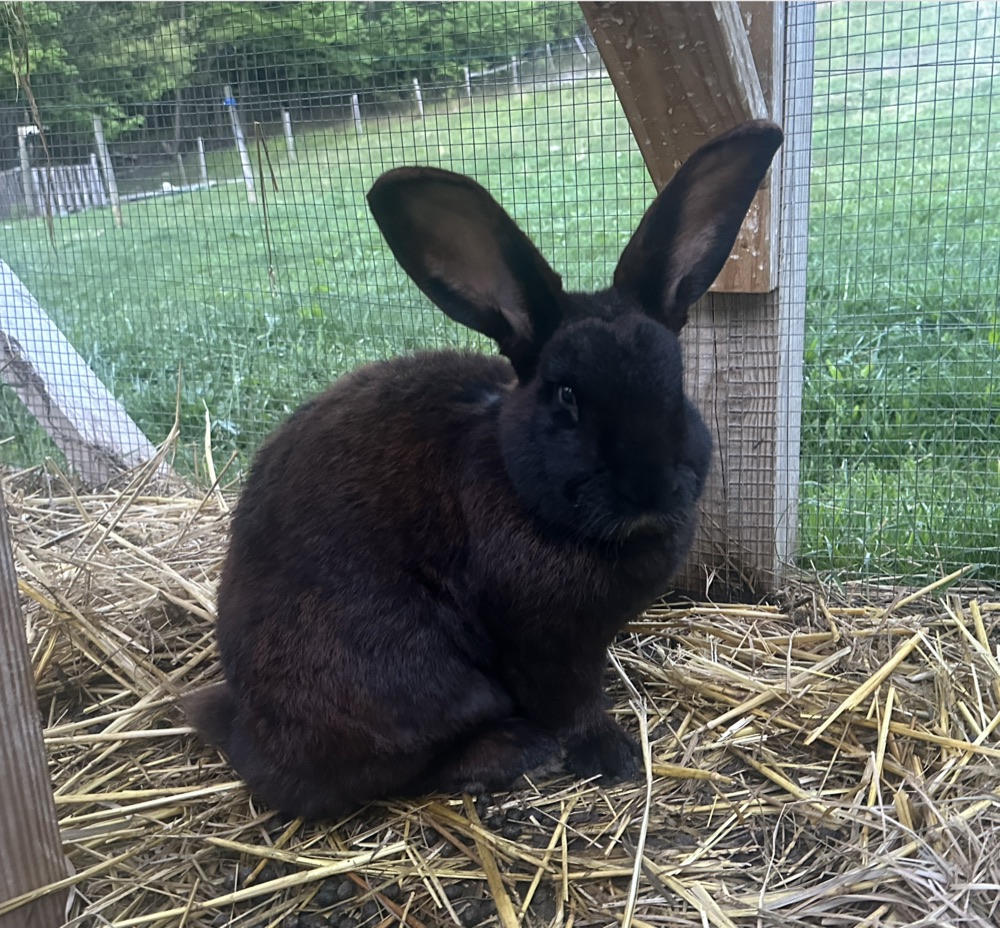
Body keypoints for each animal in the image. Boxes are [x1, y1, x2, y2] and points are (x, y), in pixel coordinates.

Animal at [185, 119, 783, 821]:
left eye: (678, 385)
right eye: (567, 397)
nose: (651, 489)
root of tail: (243, 723)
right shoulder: (545, 643)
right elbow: (571, 704)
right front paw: (612, 757)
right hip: (418, 681)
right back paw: (517, 755)